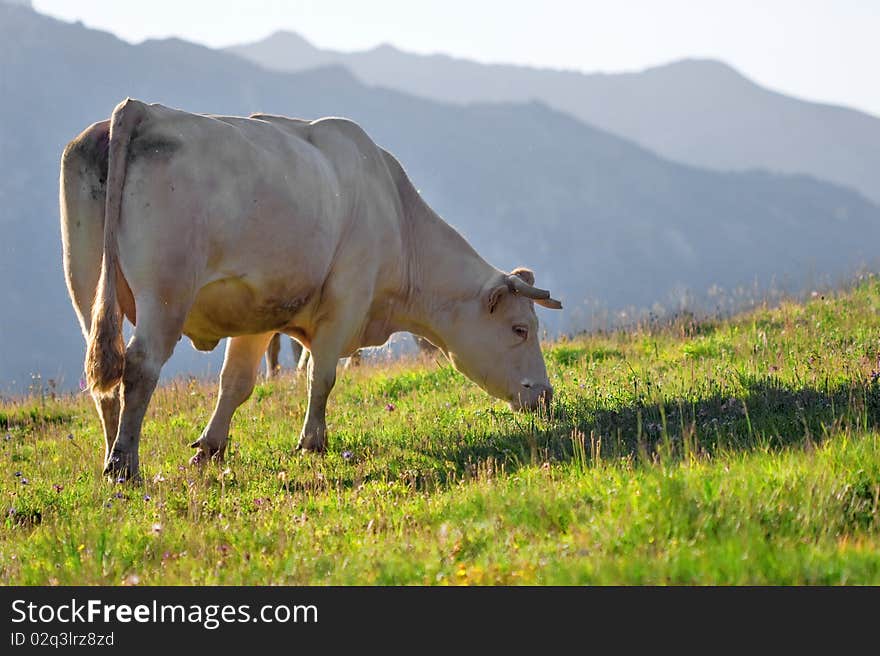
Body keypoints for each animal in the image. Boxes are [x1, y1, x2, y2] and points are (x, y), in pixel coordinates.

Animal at [58, 97, 560, 480]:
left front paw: (210, 448)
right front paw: (313, 442)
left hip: (85, 281)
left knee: (105, 376)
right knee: (140, 366)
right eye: (520, 329)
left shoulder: (259, 311)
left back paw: (111, 451)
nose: (546, 395)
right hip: (166, 291)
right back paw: (125, 464)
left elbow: (236, 382)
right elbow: (322, 374)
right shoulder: (346, 300)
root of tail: (144, 109)